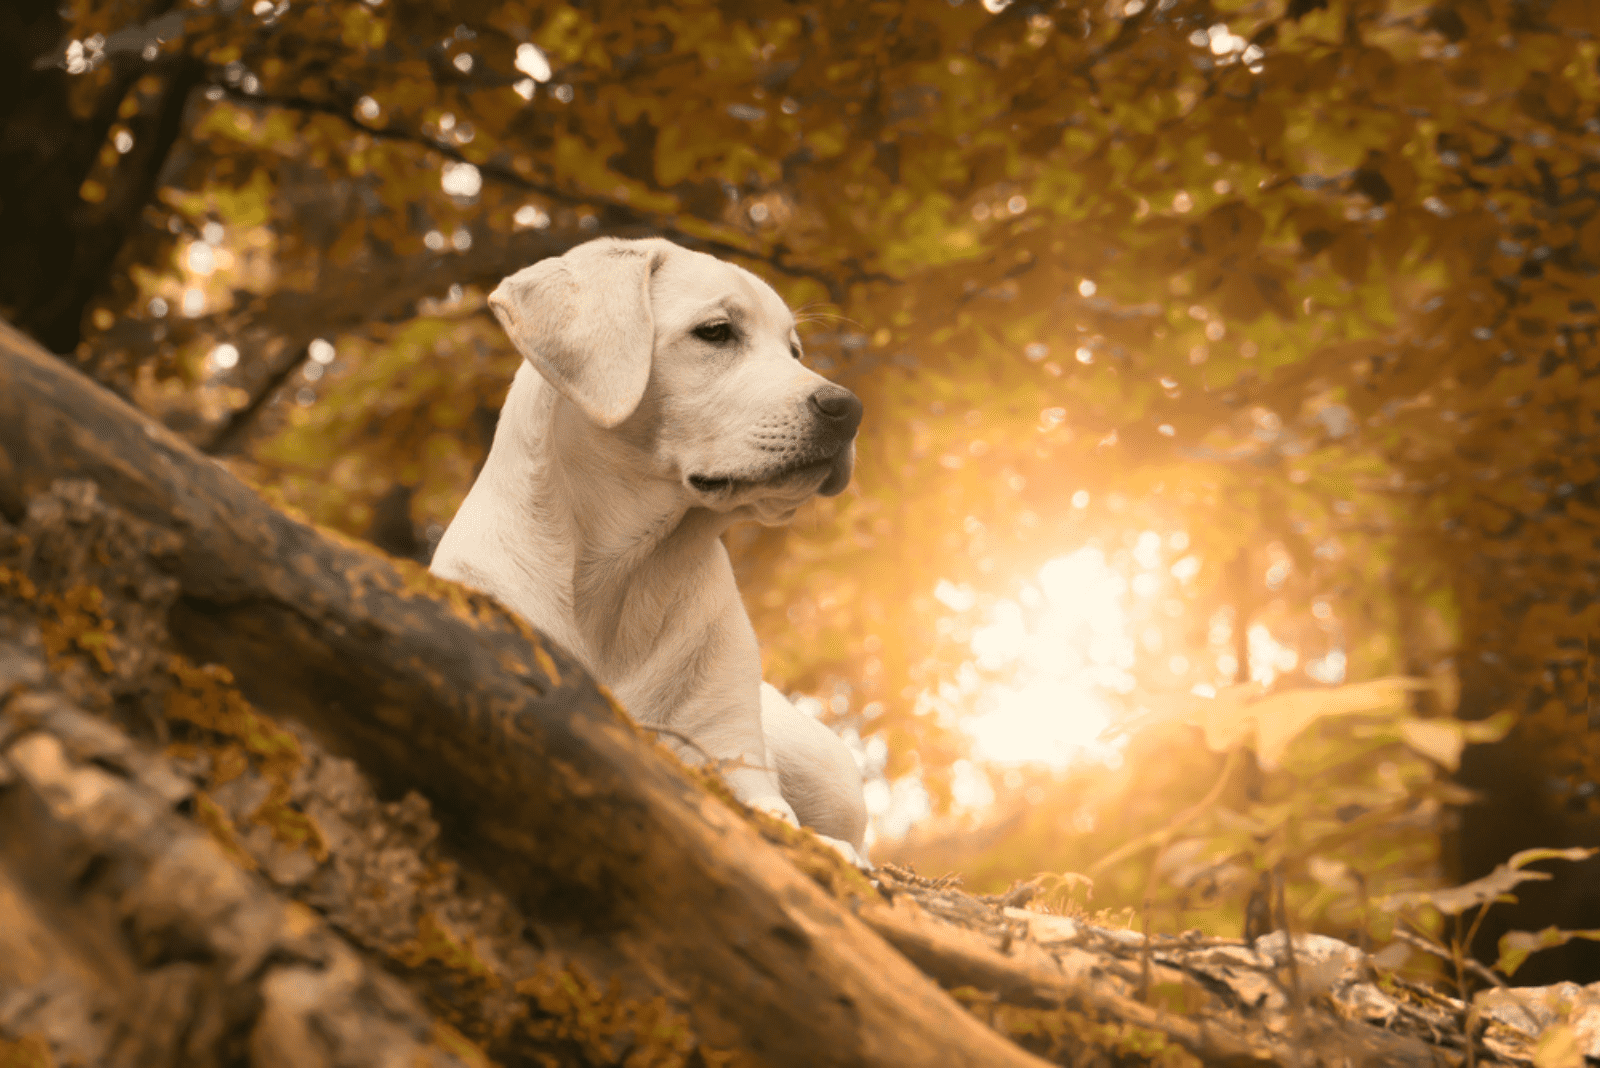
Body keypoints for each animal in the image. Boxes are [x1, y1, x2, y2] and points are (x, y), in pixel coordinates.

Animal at [432, 233, 870, 856]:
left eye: (794, 350)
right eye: (716, 332)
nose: (848, 409)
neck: (624, 569)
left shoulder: (728, 748)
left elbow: (774, 813)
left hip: (821, 767)